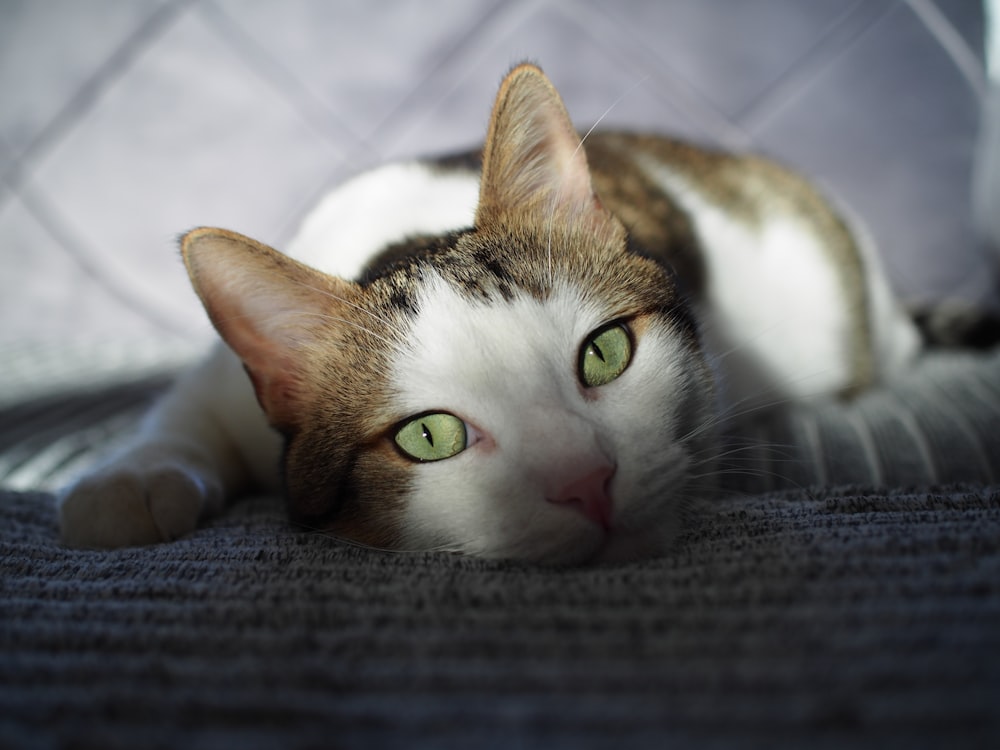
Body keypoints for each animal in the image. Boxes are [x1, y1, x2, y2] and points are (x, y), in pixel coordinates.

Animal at [58, 64, 924, 568]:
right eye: (429, 437)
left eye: (605, 354)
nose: (587, 483)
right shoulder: (228, 388)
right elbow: (183, 410)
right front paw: (129, 480)